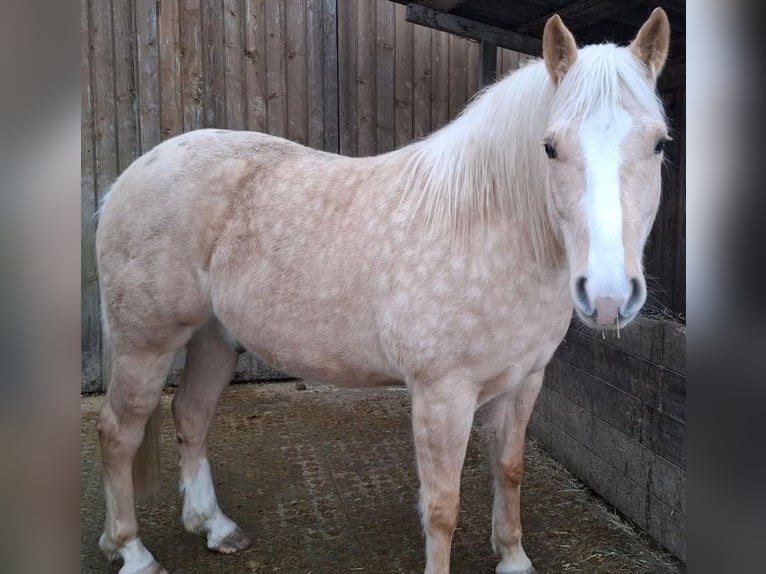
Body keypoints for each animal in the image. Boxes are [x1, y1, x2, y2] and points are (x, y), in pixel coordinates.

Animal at [94, 9, 671, 574]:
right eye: (550, 147)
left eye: (660, 143)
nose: (608, 297)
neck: (484, 226)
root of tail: (133, 174)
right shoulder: (443, 396)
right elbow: (442, 508)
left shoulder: (523, 383)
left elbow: (510, 471)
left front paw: (513, 559)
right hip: (145, 346)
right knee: (117, 434)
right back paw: (132, 551)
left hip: (214, 338)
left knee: (191, 415)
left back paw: (215, 527)